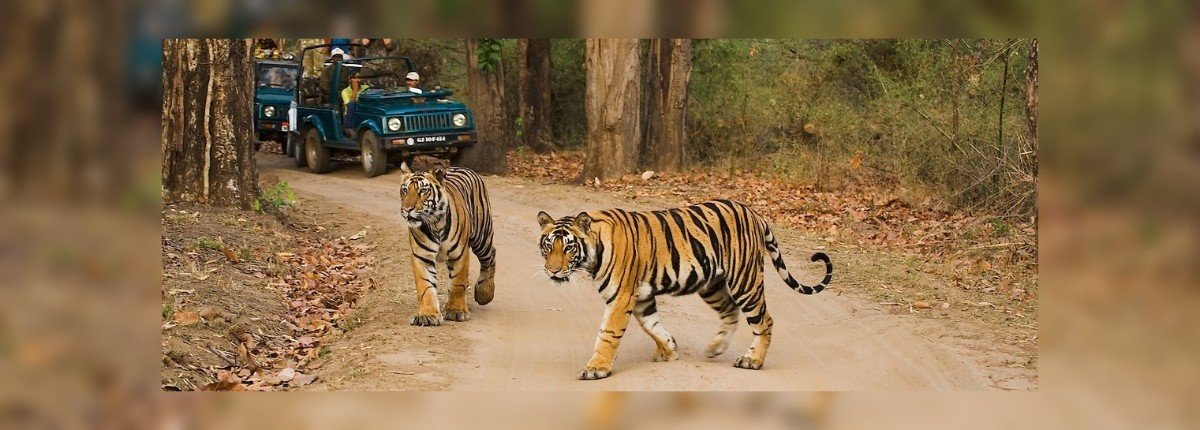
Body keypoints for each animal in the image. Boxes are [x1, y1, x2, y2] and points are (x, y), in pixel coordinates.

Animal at [398, 162, 497, 326]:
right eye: (404, 190)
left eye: (423, 191)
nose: (407, 209)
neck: (435, 223)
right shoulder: (422, 257)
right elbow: (425, 286)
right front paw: (427, 315)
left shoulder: (460, 254)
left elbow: (458, 283)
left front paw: (456, 311)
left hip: (482, 237)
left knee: (490, 256)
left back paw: (484, 294)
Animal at [536, 199, 833, 380]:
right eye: (548, 246)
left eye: (569, 247)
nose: (552, 271)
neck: (592, 253)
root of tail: (754, 213)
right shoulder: (642, 297)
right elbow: (652, 325)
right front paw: (669, 349)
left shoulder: (621, 297)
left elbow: (608, 334)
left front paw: (596, 369)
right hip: (711, 285)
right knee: (730, 311)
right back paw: (715, 348)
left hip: (744, 280)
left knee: (764, 320)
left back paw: (752, 360)